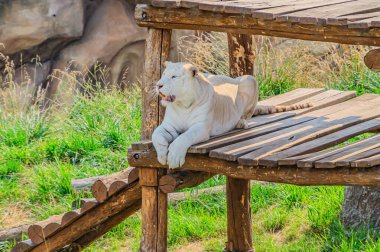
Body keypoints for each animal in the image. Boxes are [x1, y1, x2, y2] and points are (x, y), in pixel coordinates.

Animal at [153, 61, 310, 168]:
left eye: (174, 77)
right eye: (163, 75)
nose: (158, 85)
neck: (182, 105)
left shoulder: (201, 128)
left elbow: (184, 137)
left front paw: (173, 157)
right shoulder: (169, 126)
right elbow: (156, 134)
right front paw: (161, 154)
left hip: (250, 79)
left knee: (247, 115)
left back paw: (241, 123)